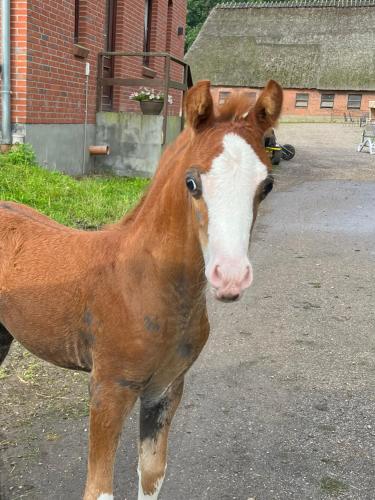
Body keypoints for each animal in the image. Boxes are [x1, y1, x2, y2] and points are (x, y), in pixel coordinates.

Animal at [0, 80, 282, 498]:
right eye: (191, 182)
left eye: (267, 184)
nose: (230, 276)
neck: (148, 284)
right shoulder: (109, 389)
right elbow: (99, 489)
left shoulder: (165, 390)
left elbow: (151, 473)